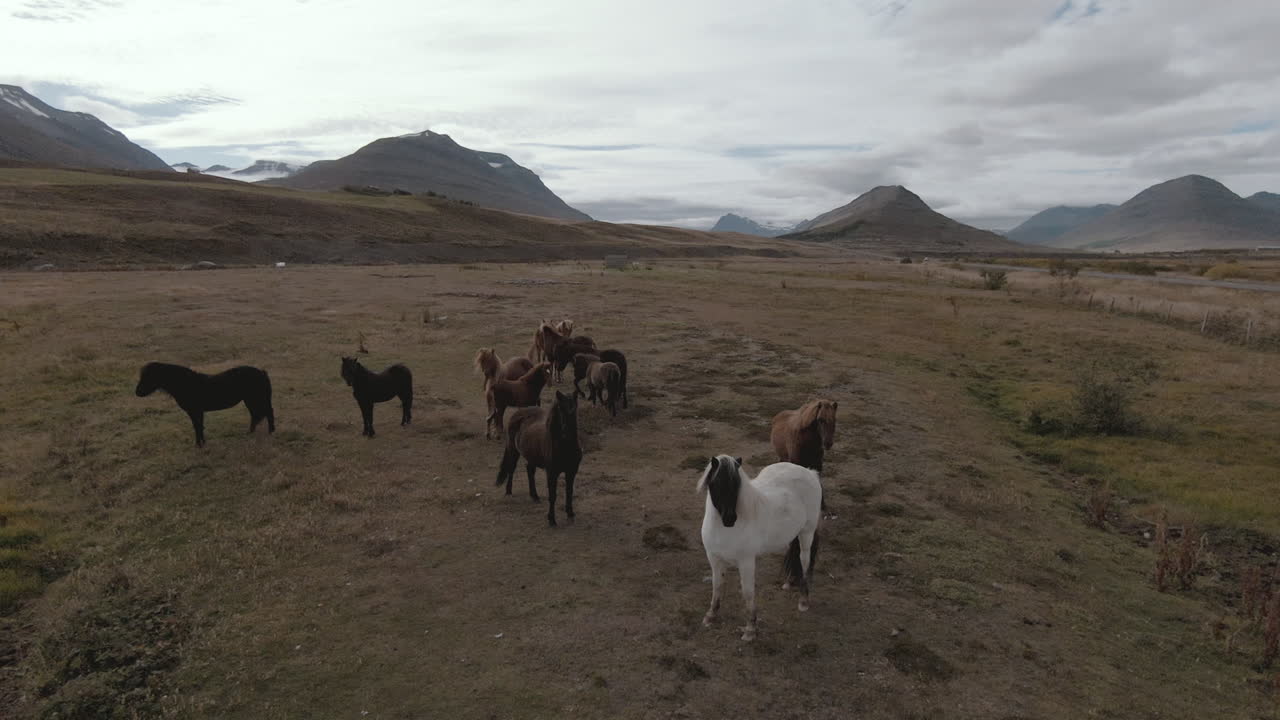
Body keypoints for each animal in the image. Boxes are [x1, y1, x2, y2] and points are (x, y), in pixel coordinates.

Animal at [134, 362, 274, 447]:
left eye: (148, 377)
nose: (137, 392)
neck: (186, 384)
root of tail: (262, 372)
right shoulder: (196, 412)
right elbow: (198, 426)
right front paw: (201, 443)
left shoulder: (195, 411)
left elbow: (197, 426)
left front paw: (199, 445)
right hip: (249, 400)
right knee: (255, 415)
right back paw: (250, 433)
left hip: (257, 398)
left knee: (268, 413)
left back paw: (271, 432)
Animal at [495, 390, 582, 527]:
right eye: (560, 410)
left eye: (573, 409)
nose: (566, 433)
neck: (564, 448)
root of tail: (518, 413)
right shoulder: (552, 473)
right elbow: (552, 495)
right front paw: (551, 519)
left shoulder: (571, 471)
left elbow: (569, 492)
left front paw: (570, 514)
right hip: (513, 450)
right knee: (511, 469)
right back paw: (508, 491)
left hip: (531, 456)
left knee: (529, 470)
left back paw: (534, 496)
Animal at [698, 456, 822, 641]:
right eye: (716, 483)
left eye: (738, 485)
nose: (730, 519)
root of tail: (810, 472)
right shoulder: (714, 558)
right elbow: (717, 586)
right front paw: (710, 616)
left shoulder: (746, 562)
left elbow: (748, 592)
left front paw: (750, 629)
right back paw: (789, 582)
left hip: (807, 532)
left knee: (804, 560)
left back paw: (803, 601)